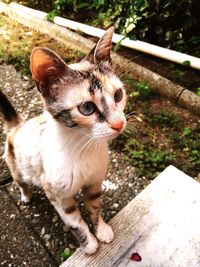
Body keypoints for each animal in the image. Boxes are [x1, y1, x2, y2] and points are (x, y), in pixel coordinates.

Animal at [0, 27, 126, 255]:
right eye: (87, 108)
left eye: (118, 95)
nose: (119, 124)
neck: (83, 148)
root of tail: (18, 125)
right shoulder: (58, 196)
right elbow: (75, 222)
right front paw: (89, 244)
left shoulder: (94, 183)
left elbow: (95, 208)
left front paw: (101, 230)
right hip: (17, 166)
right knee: (20, 181)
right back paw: (26, 195)